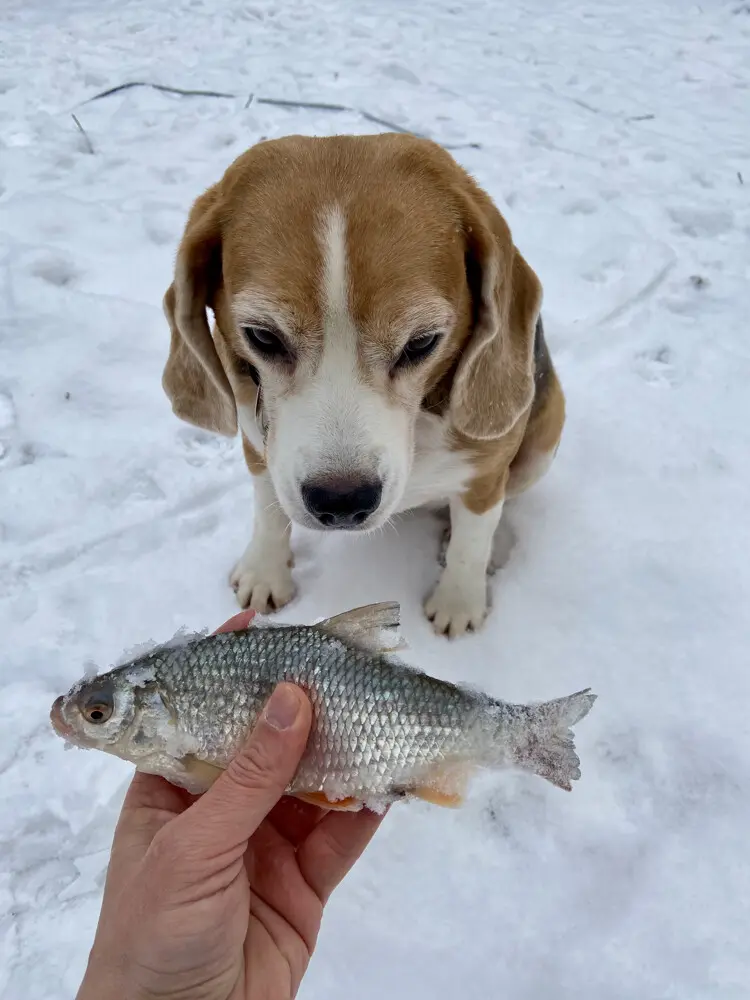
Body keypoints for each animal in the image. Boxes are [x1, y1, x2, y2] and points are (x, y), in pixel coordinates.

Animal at [163, 133, 564, 636]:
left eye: (422, 342)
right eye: (262, 337)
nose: (341, 501)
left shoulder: (487, 469)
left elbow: (472, 541)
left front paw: (458, 603)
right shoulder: (259, 442)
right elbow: (269, 510)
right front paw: (264, 572)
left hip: (544, 440)